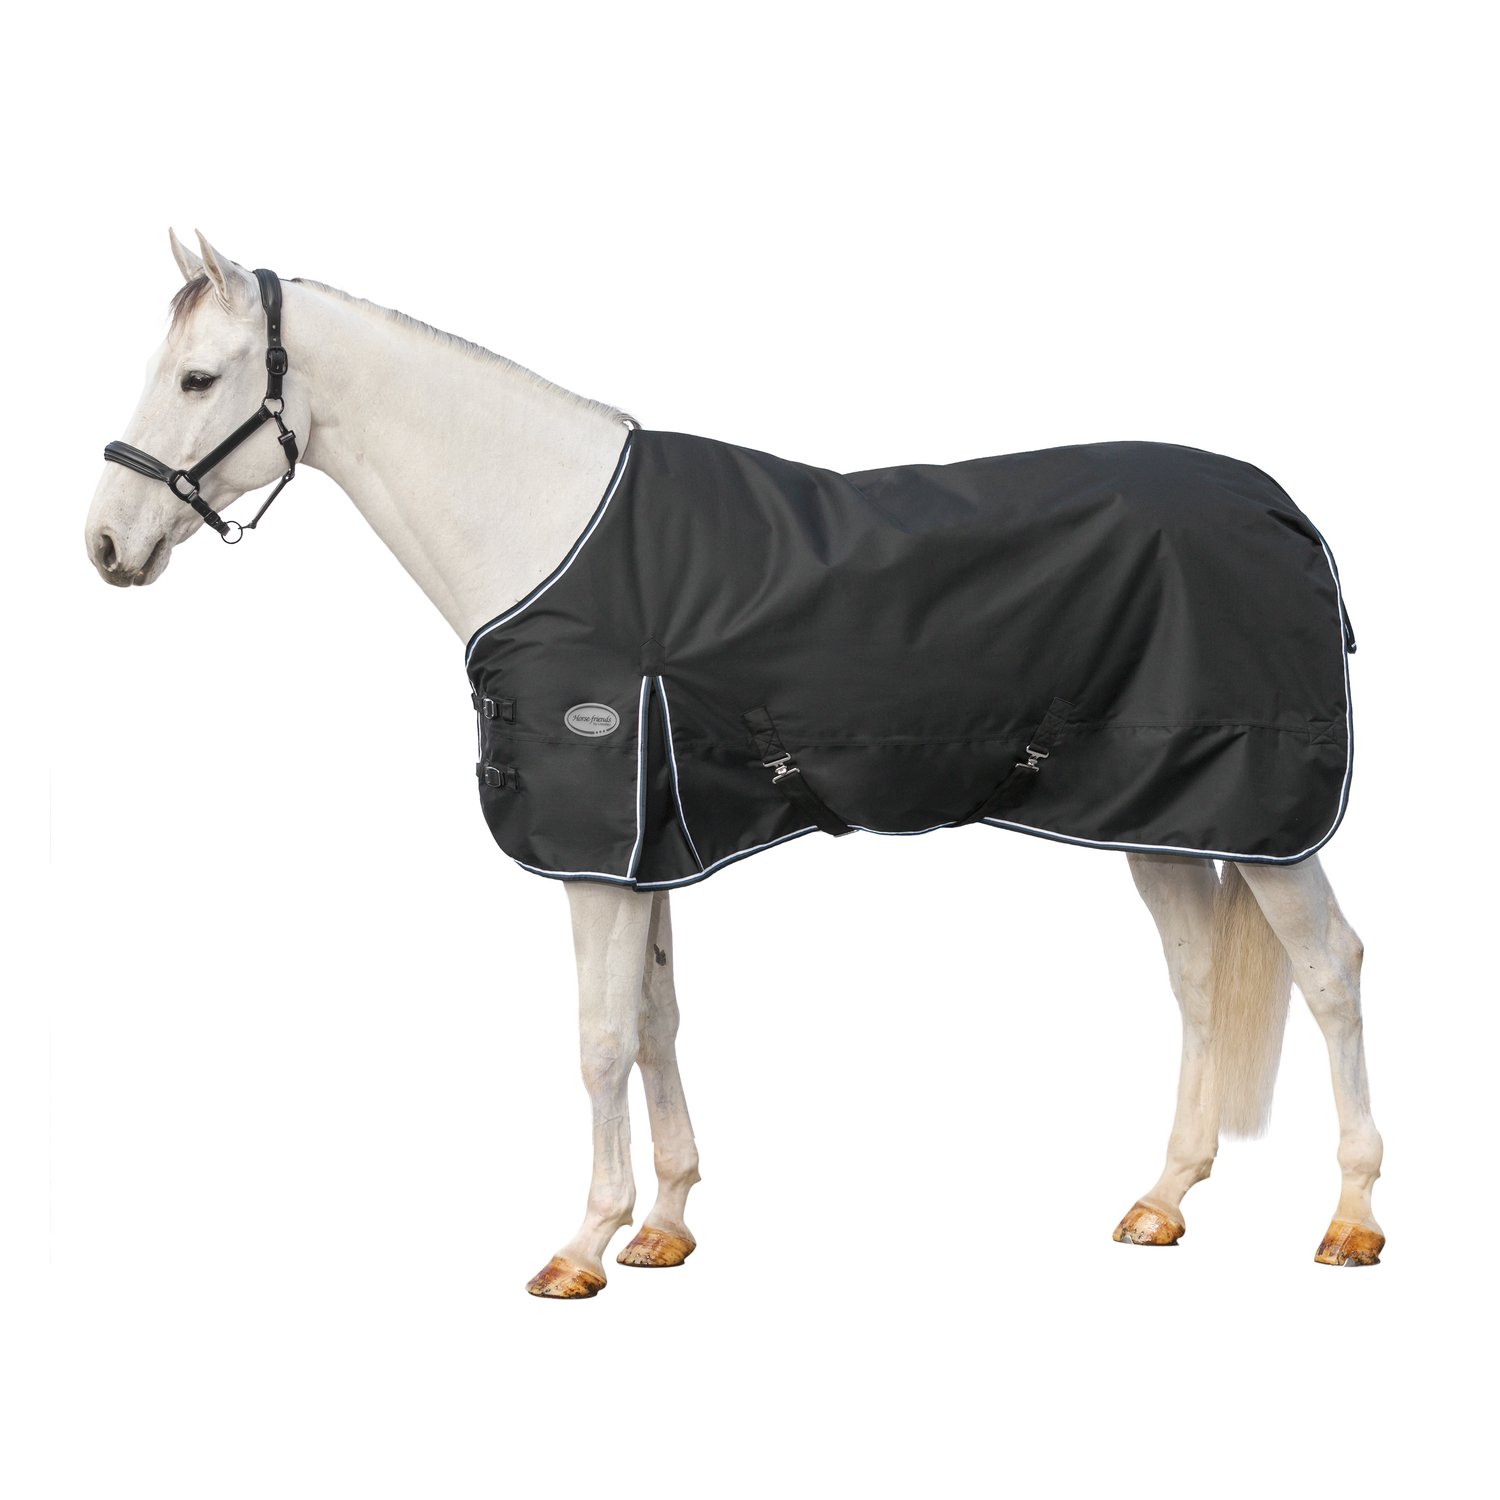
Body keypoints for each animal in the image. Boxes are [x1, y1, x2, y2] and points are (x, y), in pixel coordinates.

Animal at [84, 230, 1385, 1295]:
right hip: (1162, 814)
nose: (104, 544)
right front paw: (661, 1226)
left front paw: (579, 1245)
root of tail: (1282, 511)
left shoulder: (599, 855)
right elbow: (659, 1023)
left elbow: (601, 1041)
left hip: (1265, 823)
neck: (547, 527)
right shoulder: (648, 850)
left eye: (199, 379)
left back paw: (1352, 1220)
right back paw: (1162, 1202)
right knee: (1200, 983)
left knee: (1329, 971)